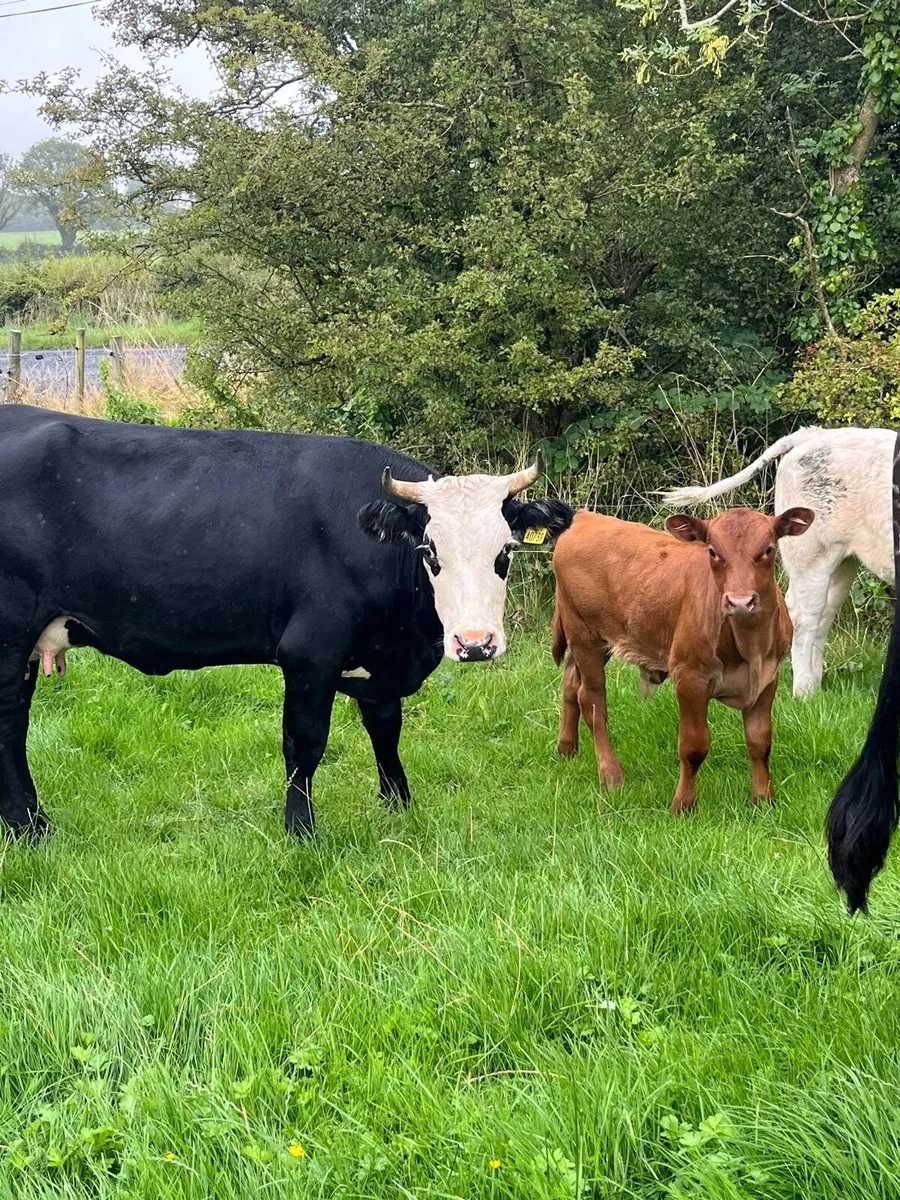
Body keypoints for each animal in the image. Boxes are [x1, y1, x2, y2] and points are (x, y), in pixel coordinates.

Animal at [0, 405, 573, 840]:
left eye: (505, 552)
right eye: (431, 551)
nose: (475, 643)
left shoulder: (380, 659)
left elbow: (386, 732)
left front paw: (399, 807)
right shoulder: (310, 653)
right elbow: (305, 742)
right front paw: (300, 830)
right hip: (9, 637)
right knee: (8, 728)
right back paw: (30, 829)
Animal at [552, 504, 814, 813]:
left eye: (768, 549)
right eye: (712, 551)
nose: (740, 602)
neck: (749, 647)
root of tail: (585, 516)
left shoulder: (768, 678)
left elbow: (760, 741)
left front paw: (763, 798)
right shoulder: (690, 677)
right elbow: (694, 746)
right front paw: (683, 804)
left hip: (588, 640)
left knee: (570, 682)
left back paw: (567, 748)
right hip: (585, 636)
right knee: (592, 700)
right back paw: (612, 775)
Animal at [661, 426, 894, 698]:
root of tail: (816, 434)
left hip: (842, 559)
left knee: (824, 612)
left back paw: (814, 685)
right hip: (811, 552)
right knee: (804, 616)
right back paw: (804, 691)